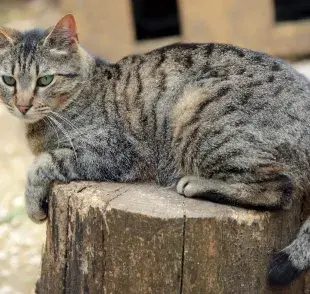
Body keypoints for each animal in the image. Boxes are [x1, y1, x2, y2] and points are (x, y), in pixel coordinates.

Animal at [0, 14, 310, 288]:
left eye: (45, 80)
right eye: (8, 81)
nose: (23, 105)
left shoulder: (116, 150)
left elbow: (42, 164)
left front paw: (32, 203)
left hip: (198, 115)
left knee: (280, 188)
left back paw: (195, 184)